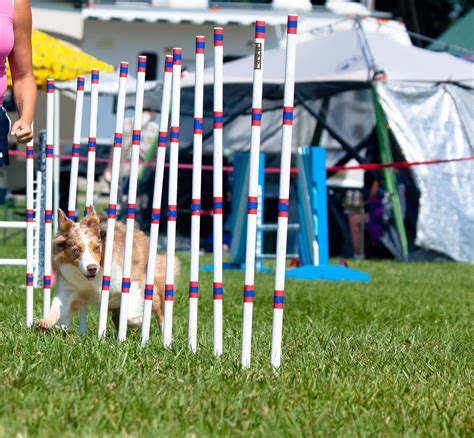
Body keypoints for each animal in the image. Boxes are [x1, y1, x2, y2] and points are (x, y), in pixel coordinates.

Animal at [37, 205, 180, 332]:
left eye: (96, 248)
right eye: (76, 250)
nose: (92, 268)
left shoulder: (129, 280)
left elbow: (130, 311)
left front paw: (136, 320)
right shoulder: (69, 288)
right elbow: (57, 304)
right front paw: (45, 321)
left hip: (151, 286)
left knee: (159, 312)